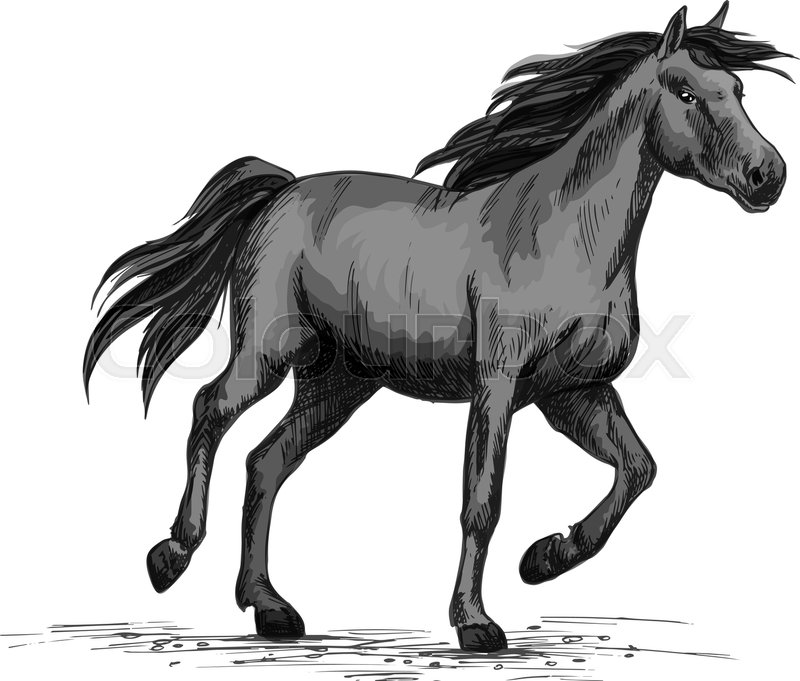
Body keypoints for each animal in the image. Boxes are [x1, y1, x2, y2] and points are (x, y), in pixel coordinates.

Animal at [84, 3, 790, 653]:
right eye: (686, 91)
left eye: (739, 88)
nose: (769, 176)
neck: (566, 235)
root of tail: (280, 193)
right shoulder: (498, 385)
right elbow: (482, 501)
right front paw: (476, 624)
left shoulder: (574, 392)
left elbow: (638, 469)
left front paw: (545, 558)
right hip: (269, 351)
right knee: (211, 410)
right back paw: (171, 556)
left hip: (337, 385)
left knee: (266, 461)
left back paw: (270, 609)